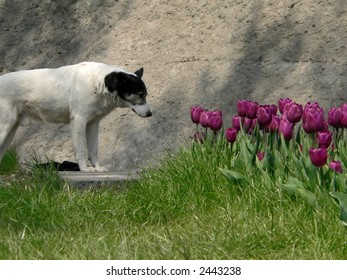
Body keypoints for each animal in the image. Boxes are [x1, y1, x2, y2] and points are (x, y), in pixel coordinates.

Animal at [0, 61, 152, 172]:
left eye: (145, 94)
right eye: (139, 94)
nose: (150, 114)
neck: (98, 84)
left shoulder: (93, 124)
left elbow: (93, 150)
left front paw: (97, 168)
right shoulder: (79, 121)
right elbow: (80, 149)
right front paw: (85, 169)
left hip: (10, 130)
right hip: (5, 128)